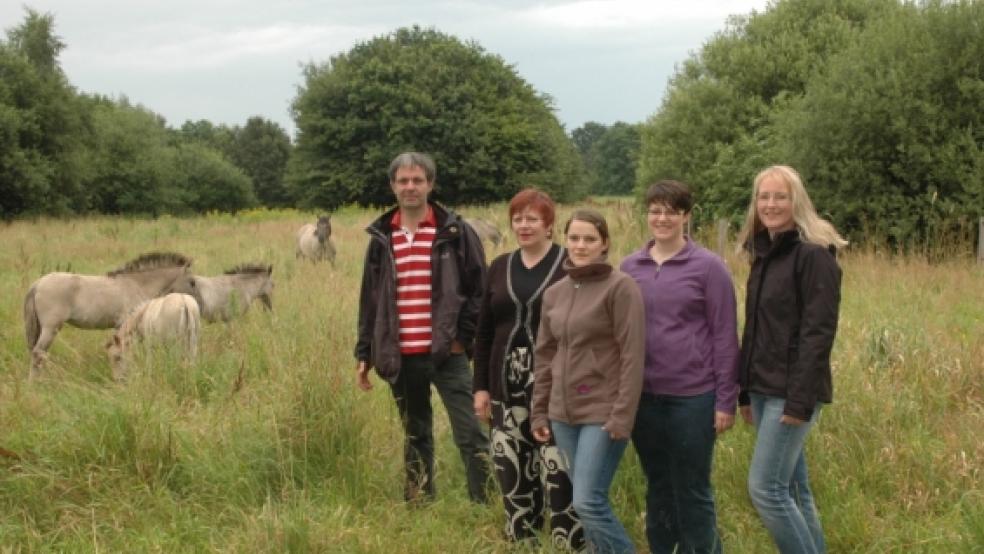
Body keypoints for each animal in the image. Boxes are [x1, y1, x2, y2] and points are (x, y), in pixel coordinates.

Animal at [23, 252, 199, 378]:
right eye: (192, 282)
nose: (196, 301)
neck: (137, 284)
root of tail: (38, 283)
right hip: (51, 327)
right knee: (38, 353)